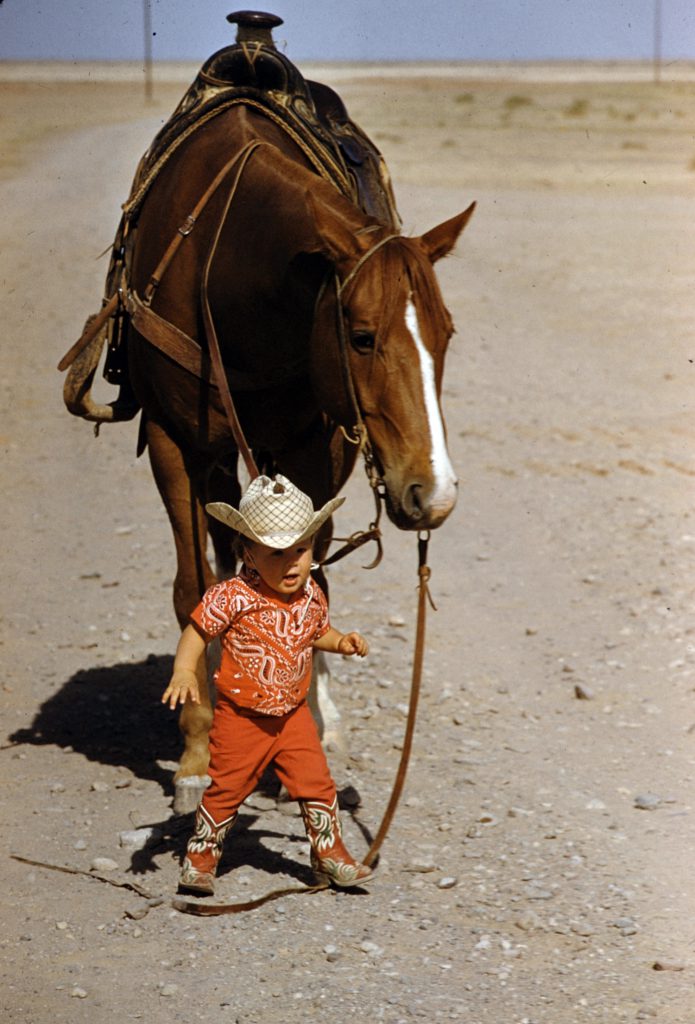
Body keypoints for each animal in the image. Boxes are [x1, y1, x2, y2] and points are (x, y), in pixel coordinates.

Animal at [62, 22, 474, 815]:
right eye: (361, 335)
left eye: (445, 334)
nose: (431, 494)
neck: (227, 266)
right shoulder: (175, 443)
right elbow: (195, 589)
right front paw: (196, 756)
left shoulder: (315, 446)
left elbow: (309, 584)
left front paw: (308, 729)